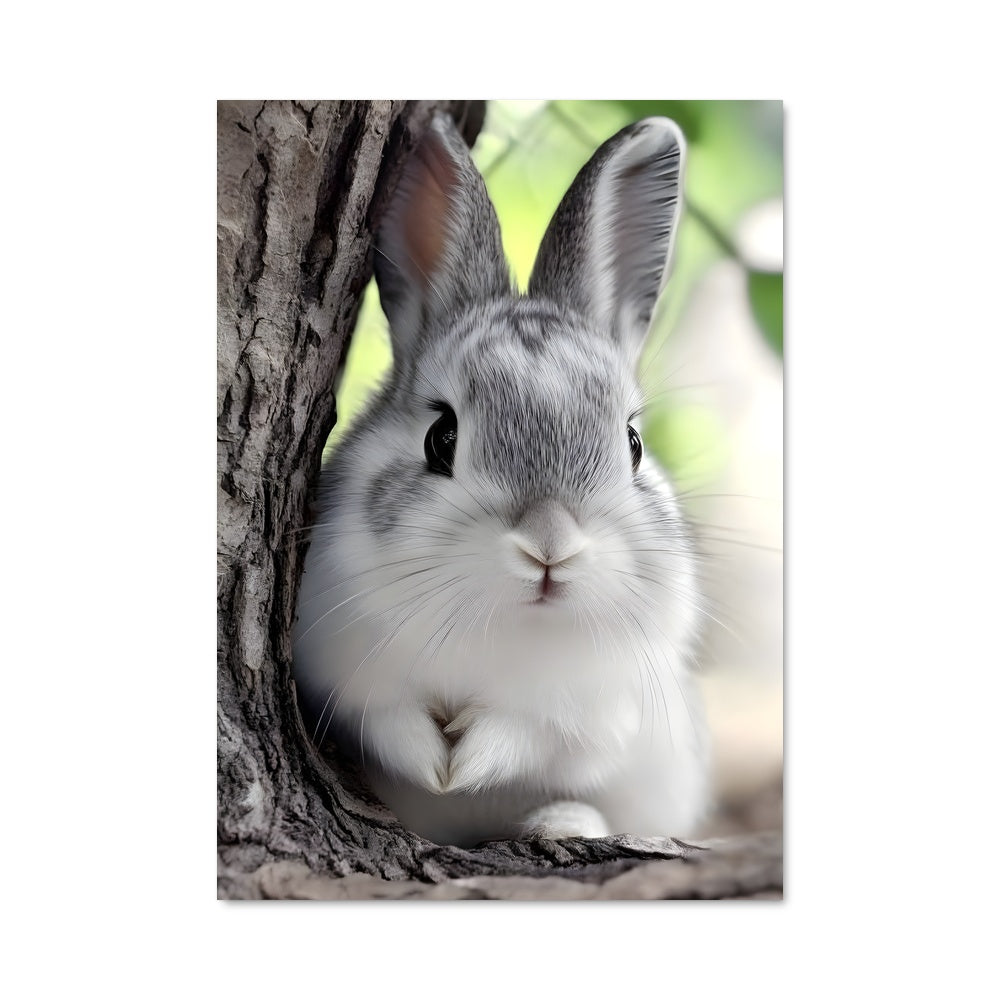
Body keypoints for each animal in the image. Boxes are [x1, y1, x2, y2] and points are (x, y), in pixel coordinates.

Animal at [292, 112, 710, 848]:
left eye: (632, 445)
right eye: (441, 438)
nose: (550, 547)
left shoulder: (596, 712)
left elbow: (529, 734)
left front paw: (466, 762)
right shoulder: (337, 671)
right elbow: (385, 719)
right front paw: (434, 763)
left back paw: (564, 821)